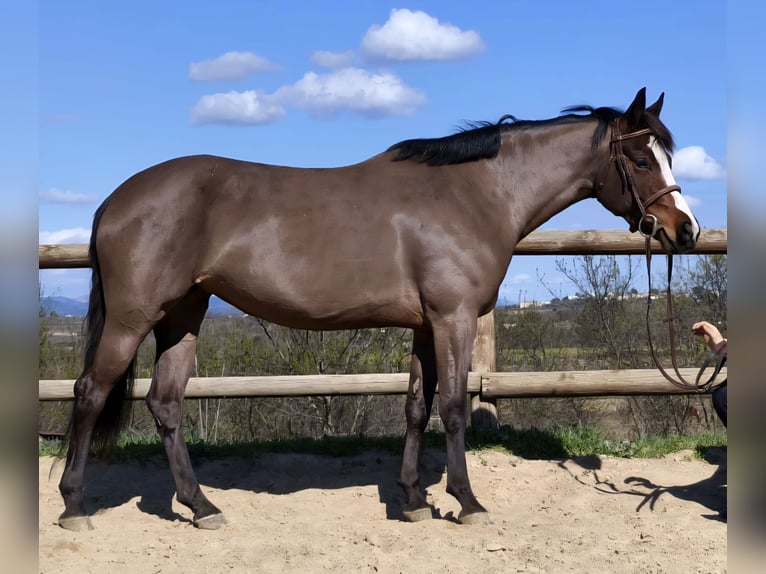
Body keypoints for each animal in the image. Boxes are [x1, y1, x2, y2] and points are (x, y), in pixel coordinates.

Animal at [57, 87, 699, 530]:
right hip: (134, 319)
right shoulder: (452, 319)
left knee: (166, 404)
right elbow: (454, 408)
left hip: (183, 315)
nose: (686, 231)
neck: (475, 195)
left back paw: (201, 506)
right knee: (89, 392)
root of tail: (116, 198)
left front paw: (413, 500)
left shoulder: (425, 325)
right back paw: (74, 506)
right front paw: (466, 502)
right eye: (643, 161)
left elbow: (416, 407)